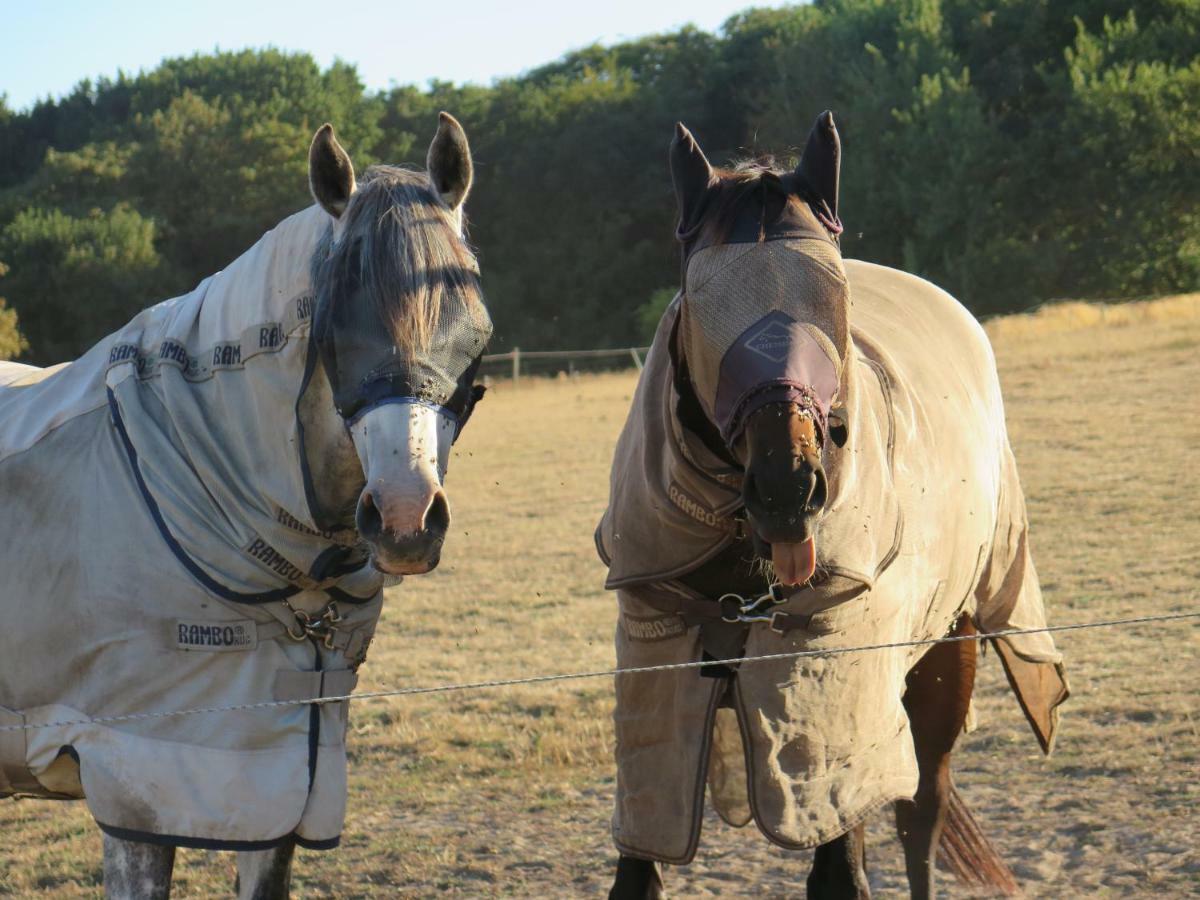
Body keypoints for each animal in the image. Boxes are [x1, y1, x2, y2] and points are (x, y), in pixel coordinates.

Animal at [600, 114, 1070, 900]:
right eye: (700, 304)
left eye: (836, 296)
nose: (787, 487)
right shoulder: (660, 689)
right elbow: (640, 864)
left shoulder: (831, 696)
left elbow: (844, 868)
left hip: (946, 653)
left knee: (921, 812)